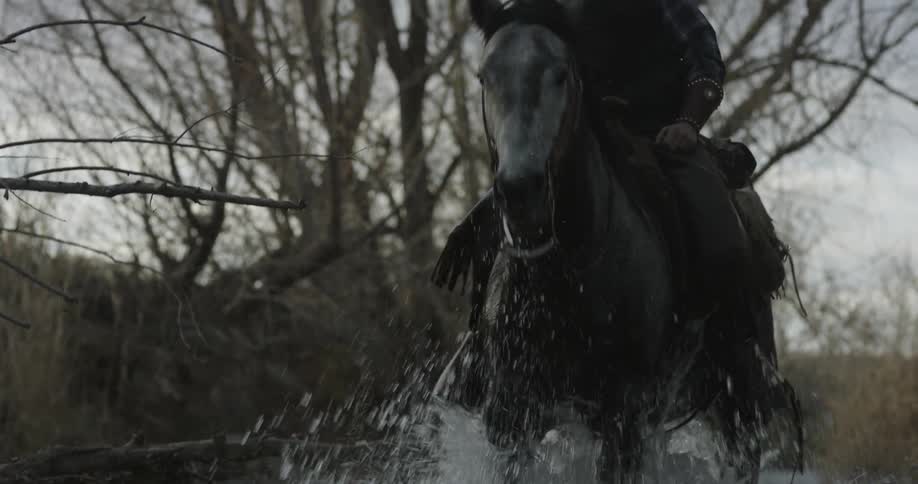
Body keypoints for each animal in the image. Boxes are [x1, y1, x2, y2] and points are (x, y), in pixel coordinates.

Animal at [432, 1, 804, 482]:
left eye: (563, 73)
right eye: (484, 76)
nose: (521, 192)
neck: (568, 273)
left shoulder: (623, 419)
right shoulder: (512, 415)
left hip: (738, 404)